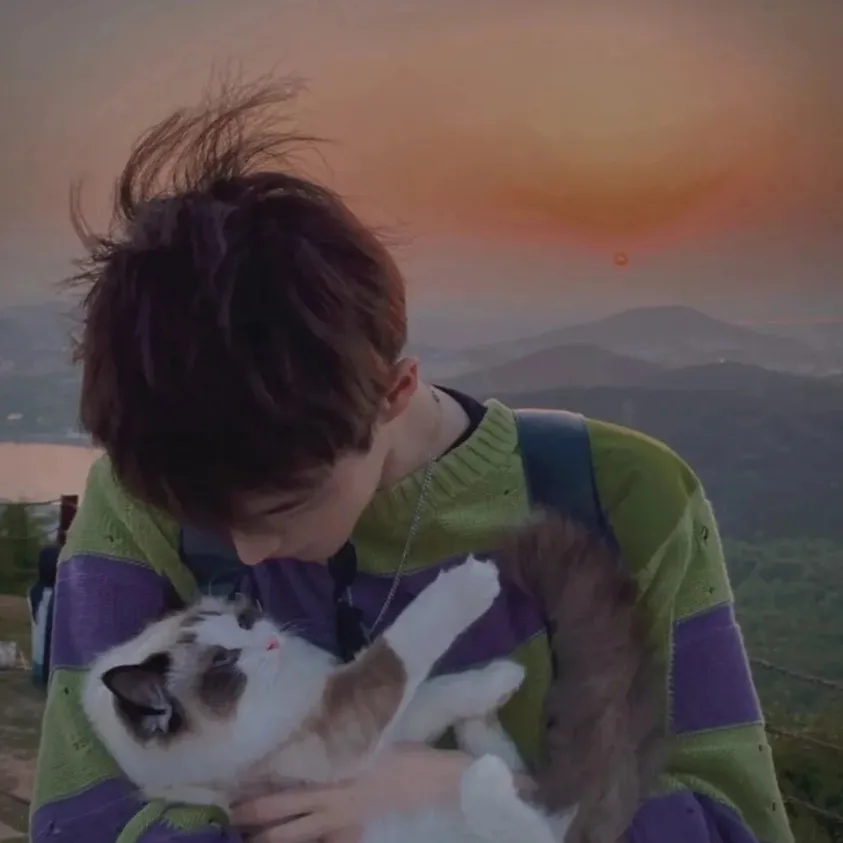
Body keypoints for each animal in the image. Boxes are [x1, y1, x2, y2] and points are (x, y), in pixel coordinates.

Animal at [83, 555, 576, 843]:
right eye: (225, 662)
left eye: (244, 620)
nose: (270, 640)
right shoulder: (341, 728)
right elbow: (400, 654)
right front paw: (472, 583)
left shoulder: (366, 721)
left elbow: (433, 693)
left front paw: (498, 681)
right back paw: (485, 775)